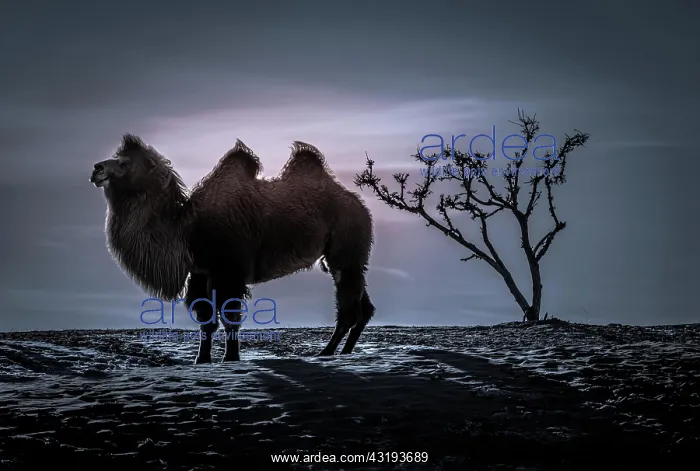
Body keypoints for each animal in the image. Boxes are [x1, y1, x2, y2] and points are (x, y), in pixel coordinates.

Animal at [90, 134, 375, 363]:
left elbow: (229, 317)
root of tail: (360, 205)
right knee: (364, 307)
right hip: (349, 259)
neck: (188, 229)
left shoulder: (229, 270)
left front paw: (230, 358)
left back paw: (326, 352)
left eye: (124, 163)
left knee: (349, 308)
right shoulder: (201, 273)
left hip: (346, 248)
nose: (96, 168)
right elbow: (206, 319)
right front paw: (201, 360)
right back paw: (345, 351)